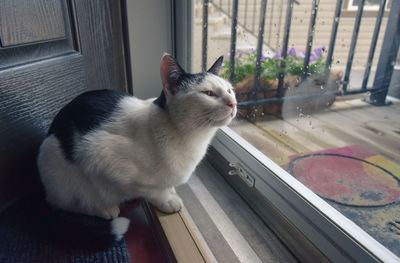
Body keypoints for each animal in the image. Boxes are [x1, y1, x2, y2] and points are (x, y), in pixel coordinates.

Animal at [36, 54, 236, 242]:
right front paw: (168, 200)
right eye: (208, 93)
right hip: (65, 169)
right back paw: (104, 208)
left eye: (229, 90)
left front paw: (171, 190)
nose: (233, 103)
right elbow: (153, 190)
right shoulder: (101, 155)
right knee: (67, 202)